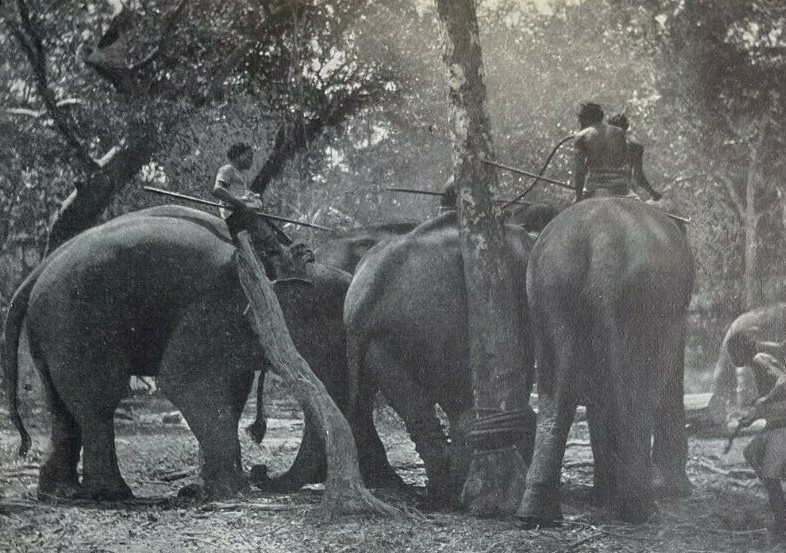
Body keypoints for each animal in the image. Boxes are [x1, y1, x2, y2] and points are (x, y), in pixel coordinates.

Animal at [3, 205, 397, 500]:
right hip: (77, 320)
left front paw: (206, 488)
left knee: (61, 404)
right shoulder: (220, 304)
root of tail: (36, 272)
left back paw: (60, 492)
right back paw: (111, 495)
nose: (262, 474)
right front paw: (233, 489)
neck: (280, 265)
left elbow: (231, 388)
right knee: (98, 399)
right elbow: (184, 379)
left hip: (51, 329)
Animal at [344, 212, 537, 506]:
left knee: (422, 412)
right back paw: (458, 492)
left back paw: (441, 495)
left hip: (386, 337)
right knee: (459, 402)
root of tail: (363, 299)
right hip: (435, 322)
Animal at [520, 197, 694, 525]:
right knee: (635, 393)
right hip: (639, 299)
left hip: (550, 288)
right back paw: (639, 507)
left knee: (556, 391)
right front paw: (674, 490)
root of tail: (601, 242)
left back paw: (537, 513)